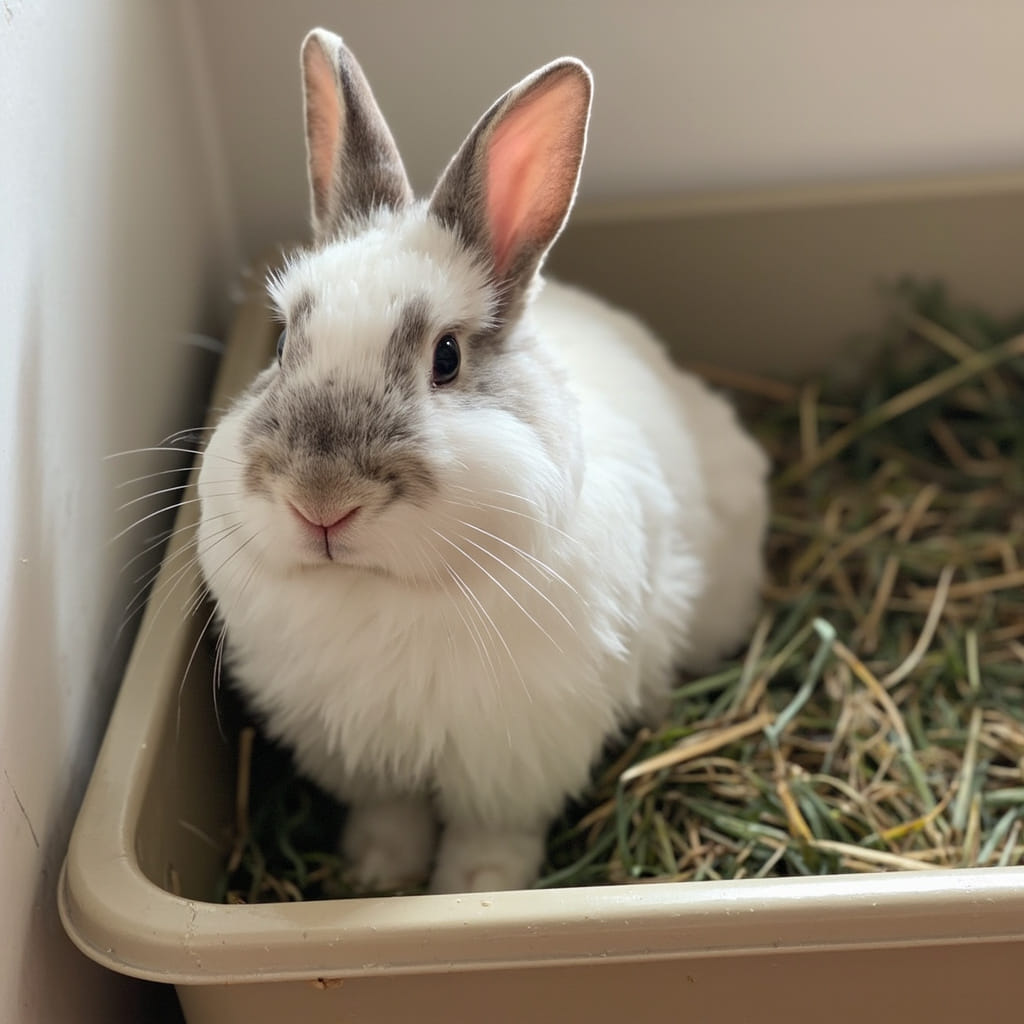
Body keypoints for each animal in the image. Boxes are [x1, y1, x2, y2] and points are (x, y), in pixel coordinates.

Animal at [197, 27, 769, 895]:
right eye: (286, 341)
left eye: (446, 358)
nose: (321, 502)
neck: (382, 590)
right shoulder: (361, 750)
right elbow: (391, 816)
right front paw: (378, 876)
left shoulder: (515, 757)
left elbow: (489, 834)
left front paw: (476, 891)